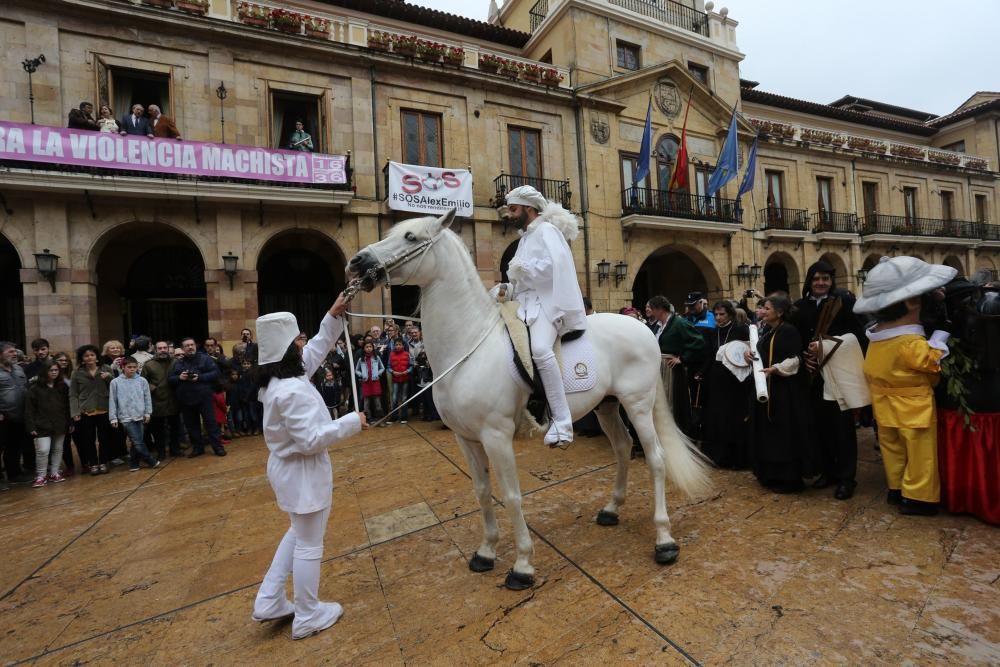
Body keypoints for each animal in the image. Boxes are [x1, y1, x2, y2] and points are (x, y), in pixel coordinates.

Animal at [350, 207, 712, 588]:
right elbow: (482, 492)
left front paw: (522, 564)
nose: (358, 262)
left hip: (638, 404)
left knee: (655, 458)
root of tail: (643, 328)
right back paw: (612, 509)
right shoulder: (466, 439)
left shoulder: (496, 436)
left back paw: (664, 540)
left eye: (411, 237)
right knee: (623, 447)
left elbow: (510, 496)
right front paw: (486, 552)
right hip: (607, 406)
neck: (468, 347)